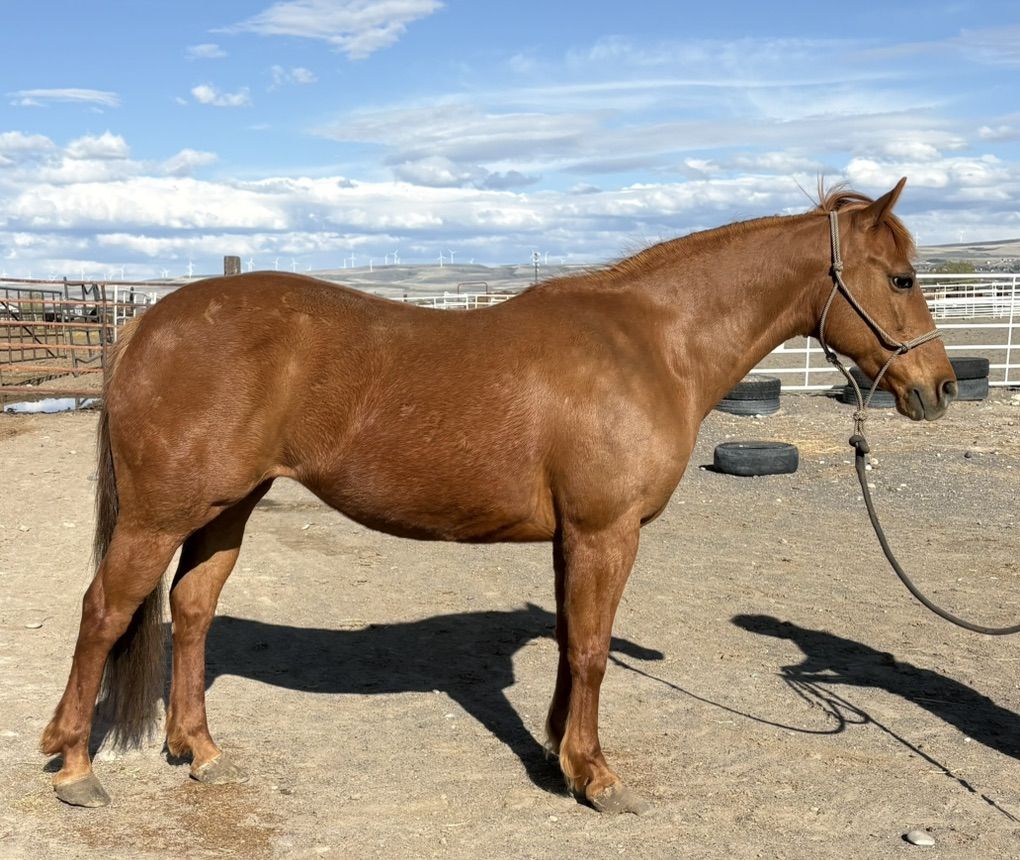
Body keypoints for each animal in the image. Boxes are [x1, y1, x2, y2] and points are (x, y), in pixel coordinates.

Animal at [41, 178, 956, 813]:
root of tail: (149, 320)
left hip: (226, 507)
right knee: (104, 611)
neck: (651, 343)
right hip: (159, 515)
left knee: (191, 610)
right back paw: (76, 764)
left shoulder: (573, 537)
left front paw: (561, 755)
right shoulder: (605, 531)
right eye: (902, 278)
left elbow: (572, 644)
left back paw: (198, 749)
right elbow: (591, 649)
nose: (940, 388)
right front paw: (597, 778)